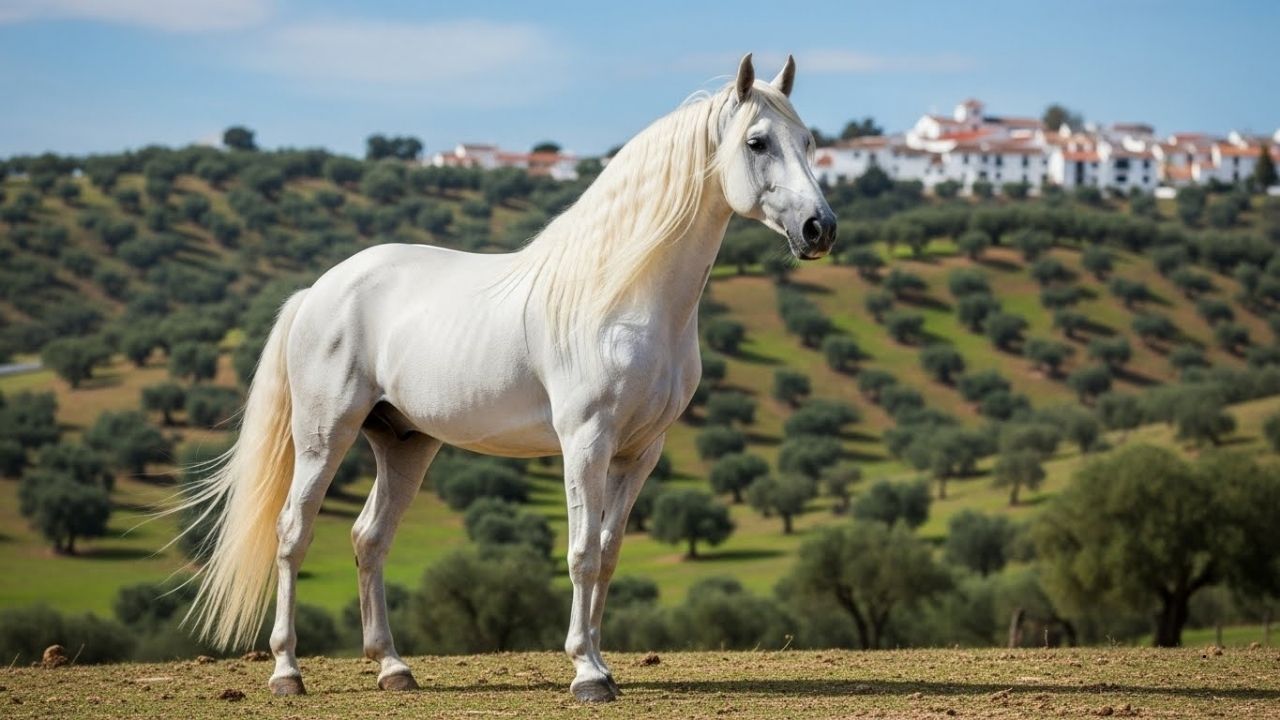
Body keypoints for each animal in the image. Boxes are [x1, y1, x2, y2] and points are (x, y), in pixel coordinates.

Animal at [179, 52, 836, 703]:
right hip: (323, 436)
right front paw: (586, 674)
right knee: (293, 534)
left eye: (808, 141)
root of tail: (317, 291)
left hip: (404, 443)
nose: (819, 229)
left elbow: (608, 553)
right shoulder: (585, 442)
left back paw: (393, 668)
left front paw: (603, 665)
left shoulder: (639, 453)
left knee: (370, 539)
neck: (621, 294)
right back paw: (286, 672)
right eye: (756, 142)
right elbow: (581, 554)